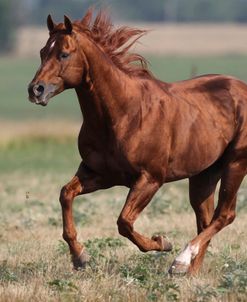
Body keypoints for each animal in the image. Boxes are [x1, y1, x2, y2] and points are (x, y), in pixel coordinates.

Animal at [27, 9, 247, 274]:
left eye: (63, 54)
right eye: (42, 51)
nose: (35, 90)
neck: (123, 114)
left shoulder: (150, 179)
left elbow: (124, 221)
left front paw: (163, 242)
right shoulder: (100, 174)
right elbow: (66, 194)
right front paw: (80, 257)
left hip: (235, 164)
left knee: (225, 215)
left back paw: (180, 260)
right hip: (203, 174)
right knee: (205, 219)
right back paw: (190, 272)